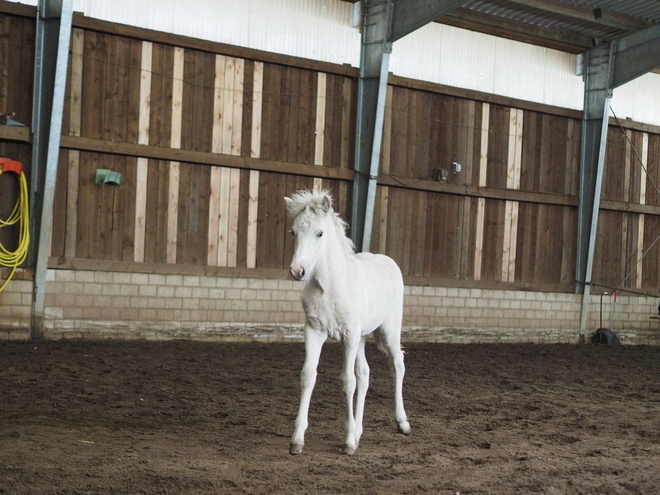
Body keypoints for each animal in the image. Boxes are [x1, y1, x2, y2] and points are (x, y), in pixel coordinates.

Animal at [284, 190, 410, 458]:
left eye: (320, 233)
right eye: (293, 232)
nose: (298, 271)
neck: (330, 286)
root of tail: (389, 261)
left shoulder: (349, 335)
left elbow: (347, 381)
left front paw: (348, 442)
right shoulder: (314, 331)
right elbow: (309, 375)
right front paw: (297, 440)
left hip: (388, 331)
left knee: (397, 365)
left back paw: (402, 423)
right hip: (362, 338)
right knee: (365, 374)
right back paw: (359, 430)